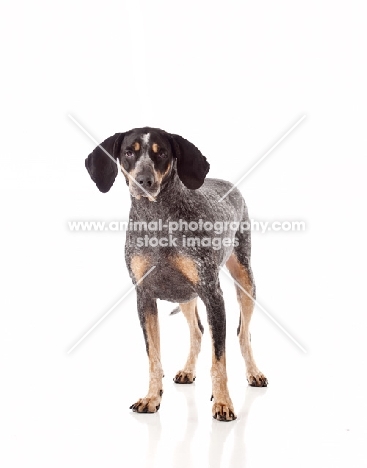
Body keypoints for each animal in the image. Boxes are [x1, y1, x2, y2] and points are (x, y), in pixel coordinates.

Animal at [86, 127, 268, 420]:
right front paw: (152, 397)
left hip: (246, 281)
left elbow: (219, 360)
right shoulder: (144, 297)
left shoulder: (212, 295)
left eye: (162, 153)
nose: (144, 180)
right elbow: (154, 357)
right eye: (129, 152)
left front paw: (223, 402)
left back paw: (254, 373)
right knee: (197, 331)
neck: (157, 220)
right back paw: (187, 370)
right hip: (185, 297)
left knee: (243, 334)